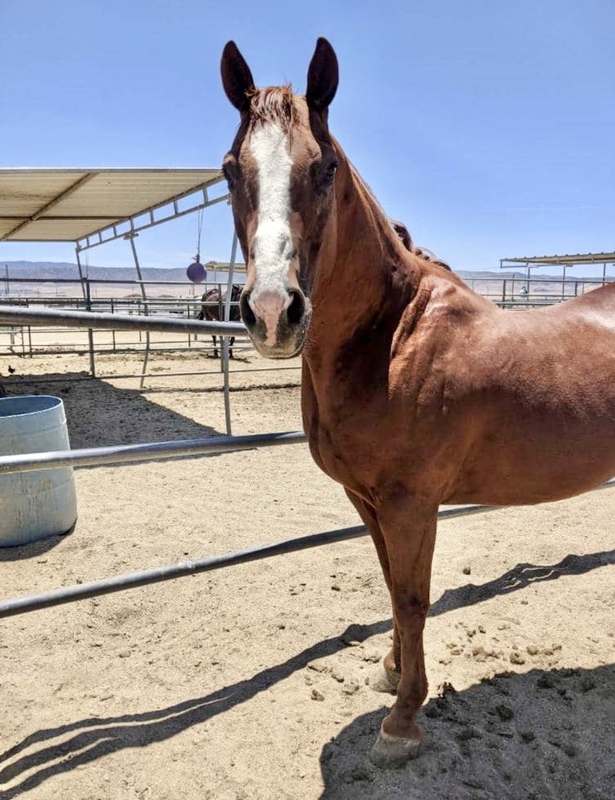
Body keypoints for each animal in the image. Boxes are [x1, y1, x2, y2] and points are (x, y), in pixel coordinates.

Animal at [219, 39, 615, 768]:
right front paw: (391, 673)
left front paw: (401, 721)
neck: (392, 338)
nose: (272, 314)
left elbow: (410, 598)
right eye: (231, 170)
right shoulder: (368, 500)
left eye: (326, 167)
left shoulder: (411, 503)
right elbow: (390, 588)